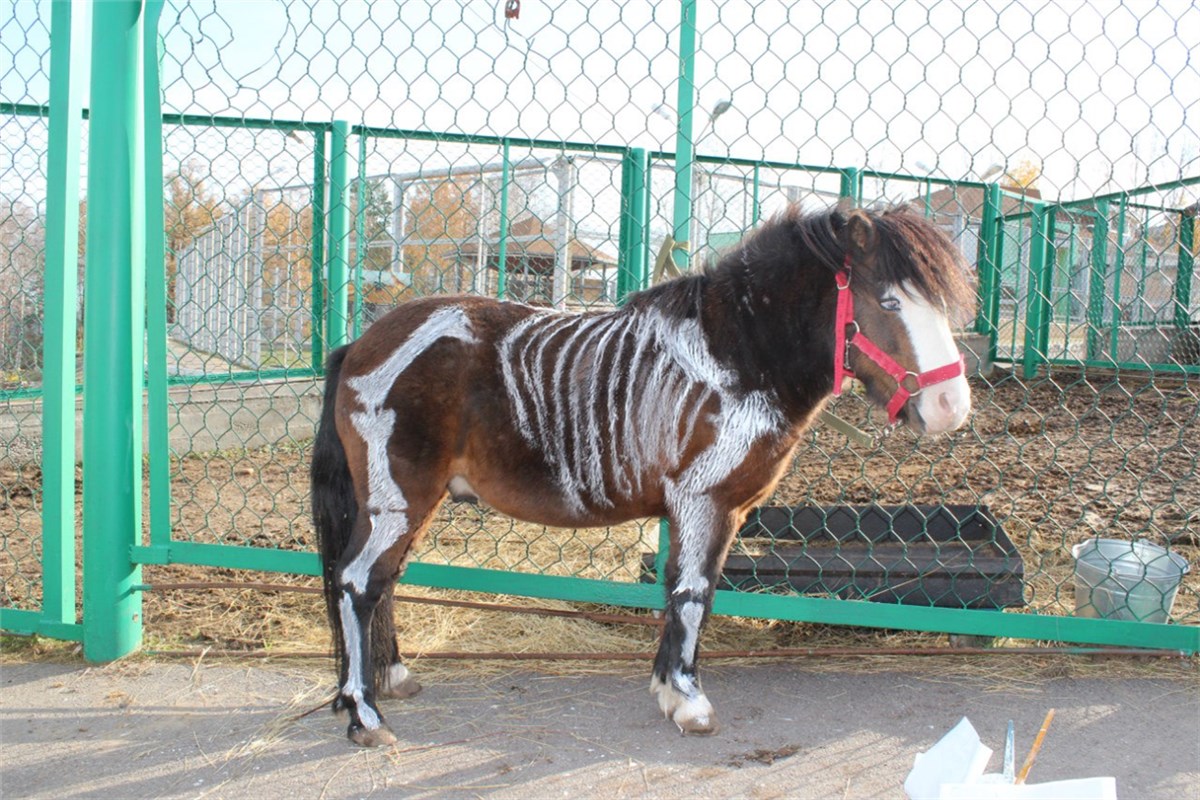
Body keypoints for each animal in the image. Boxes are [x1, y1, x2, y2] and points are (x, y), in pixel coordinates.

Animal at [307, 205, 974, 743]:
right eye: (889, 302)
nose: (952, 407)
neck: (733, 360)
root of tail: (360, 343)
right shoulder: (704, 501)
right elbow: (691, 592)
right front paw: (688, 700)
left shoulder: (719, 510)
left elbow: (686, 592)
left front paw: (667, 689)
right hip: (399, 498)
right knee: (356, 581)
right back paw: (365, 715)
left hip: (410, 502)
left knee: (384, 580)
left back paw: (392, 678)